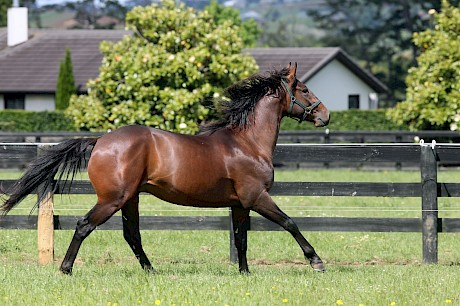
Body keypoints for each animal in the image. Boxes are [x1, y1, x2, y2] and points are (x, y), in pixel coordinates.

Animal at [1, 62, 328, 274]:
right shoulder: (257, 197)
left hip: (130, 199)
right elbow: (290, 223)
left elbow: (241, 238)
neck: (247, 142)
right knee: (84, 225)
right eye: (305, 89)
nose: (325, 115)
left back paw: (151, 271)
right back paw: (66, 269)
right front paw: (317, 262)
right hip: (113, 199)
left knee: (132, 235)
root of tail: (100, 140)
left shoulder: (240, 204)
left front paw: (245, 273)